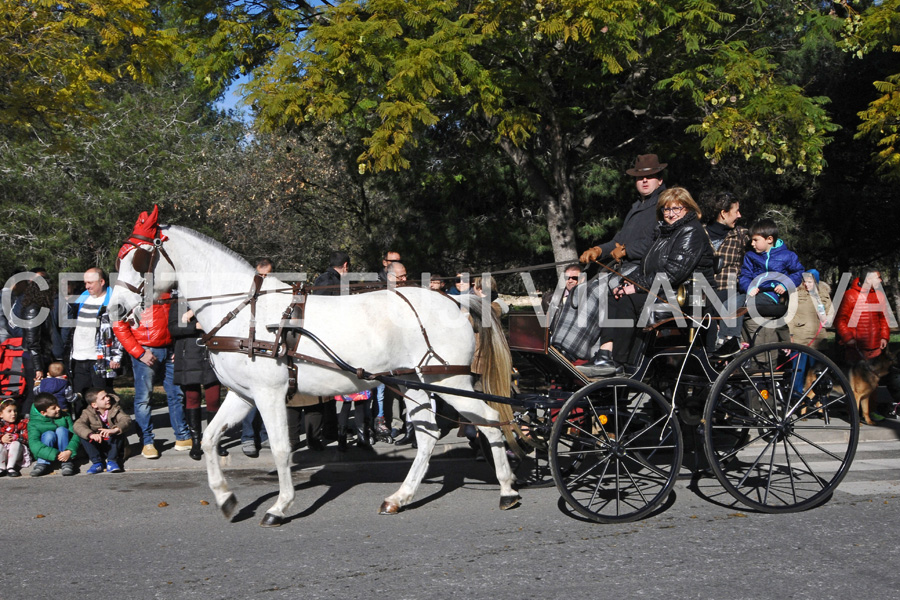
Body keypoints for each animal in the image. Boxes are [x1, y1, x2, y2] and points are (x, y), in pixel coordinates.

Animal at [112, 224, 520, 524]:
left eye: (138, 259)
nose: (114, 308)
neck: (244, 310)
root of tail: (454, 299)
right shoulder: (242, 395)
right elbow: (211, 440)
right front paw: (227, 499)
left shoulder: (269, 394)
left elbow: (280, 449)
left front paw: (280, 507)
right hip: (415, 383)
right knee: (430, 435)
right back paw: (400, 498)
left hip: (448, 381)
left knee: (488, 420)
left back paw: (507, 490)